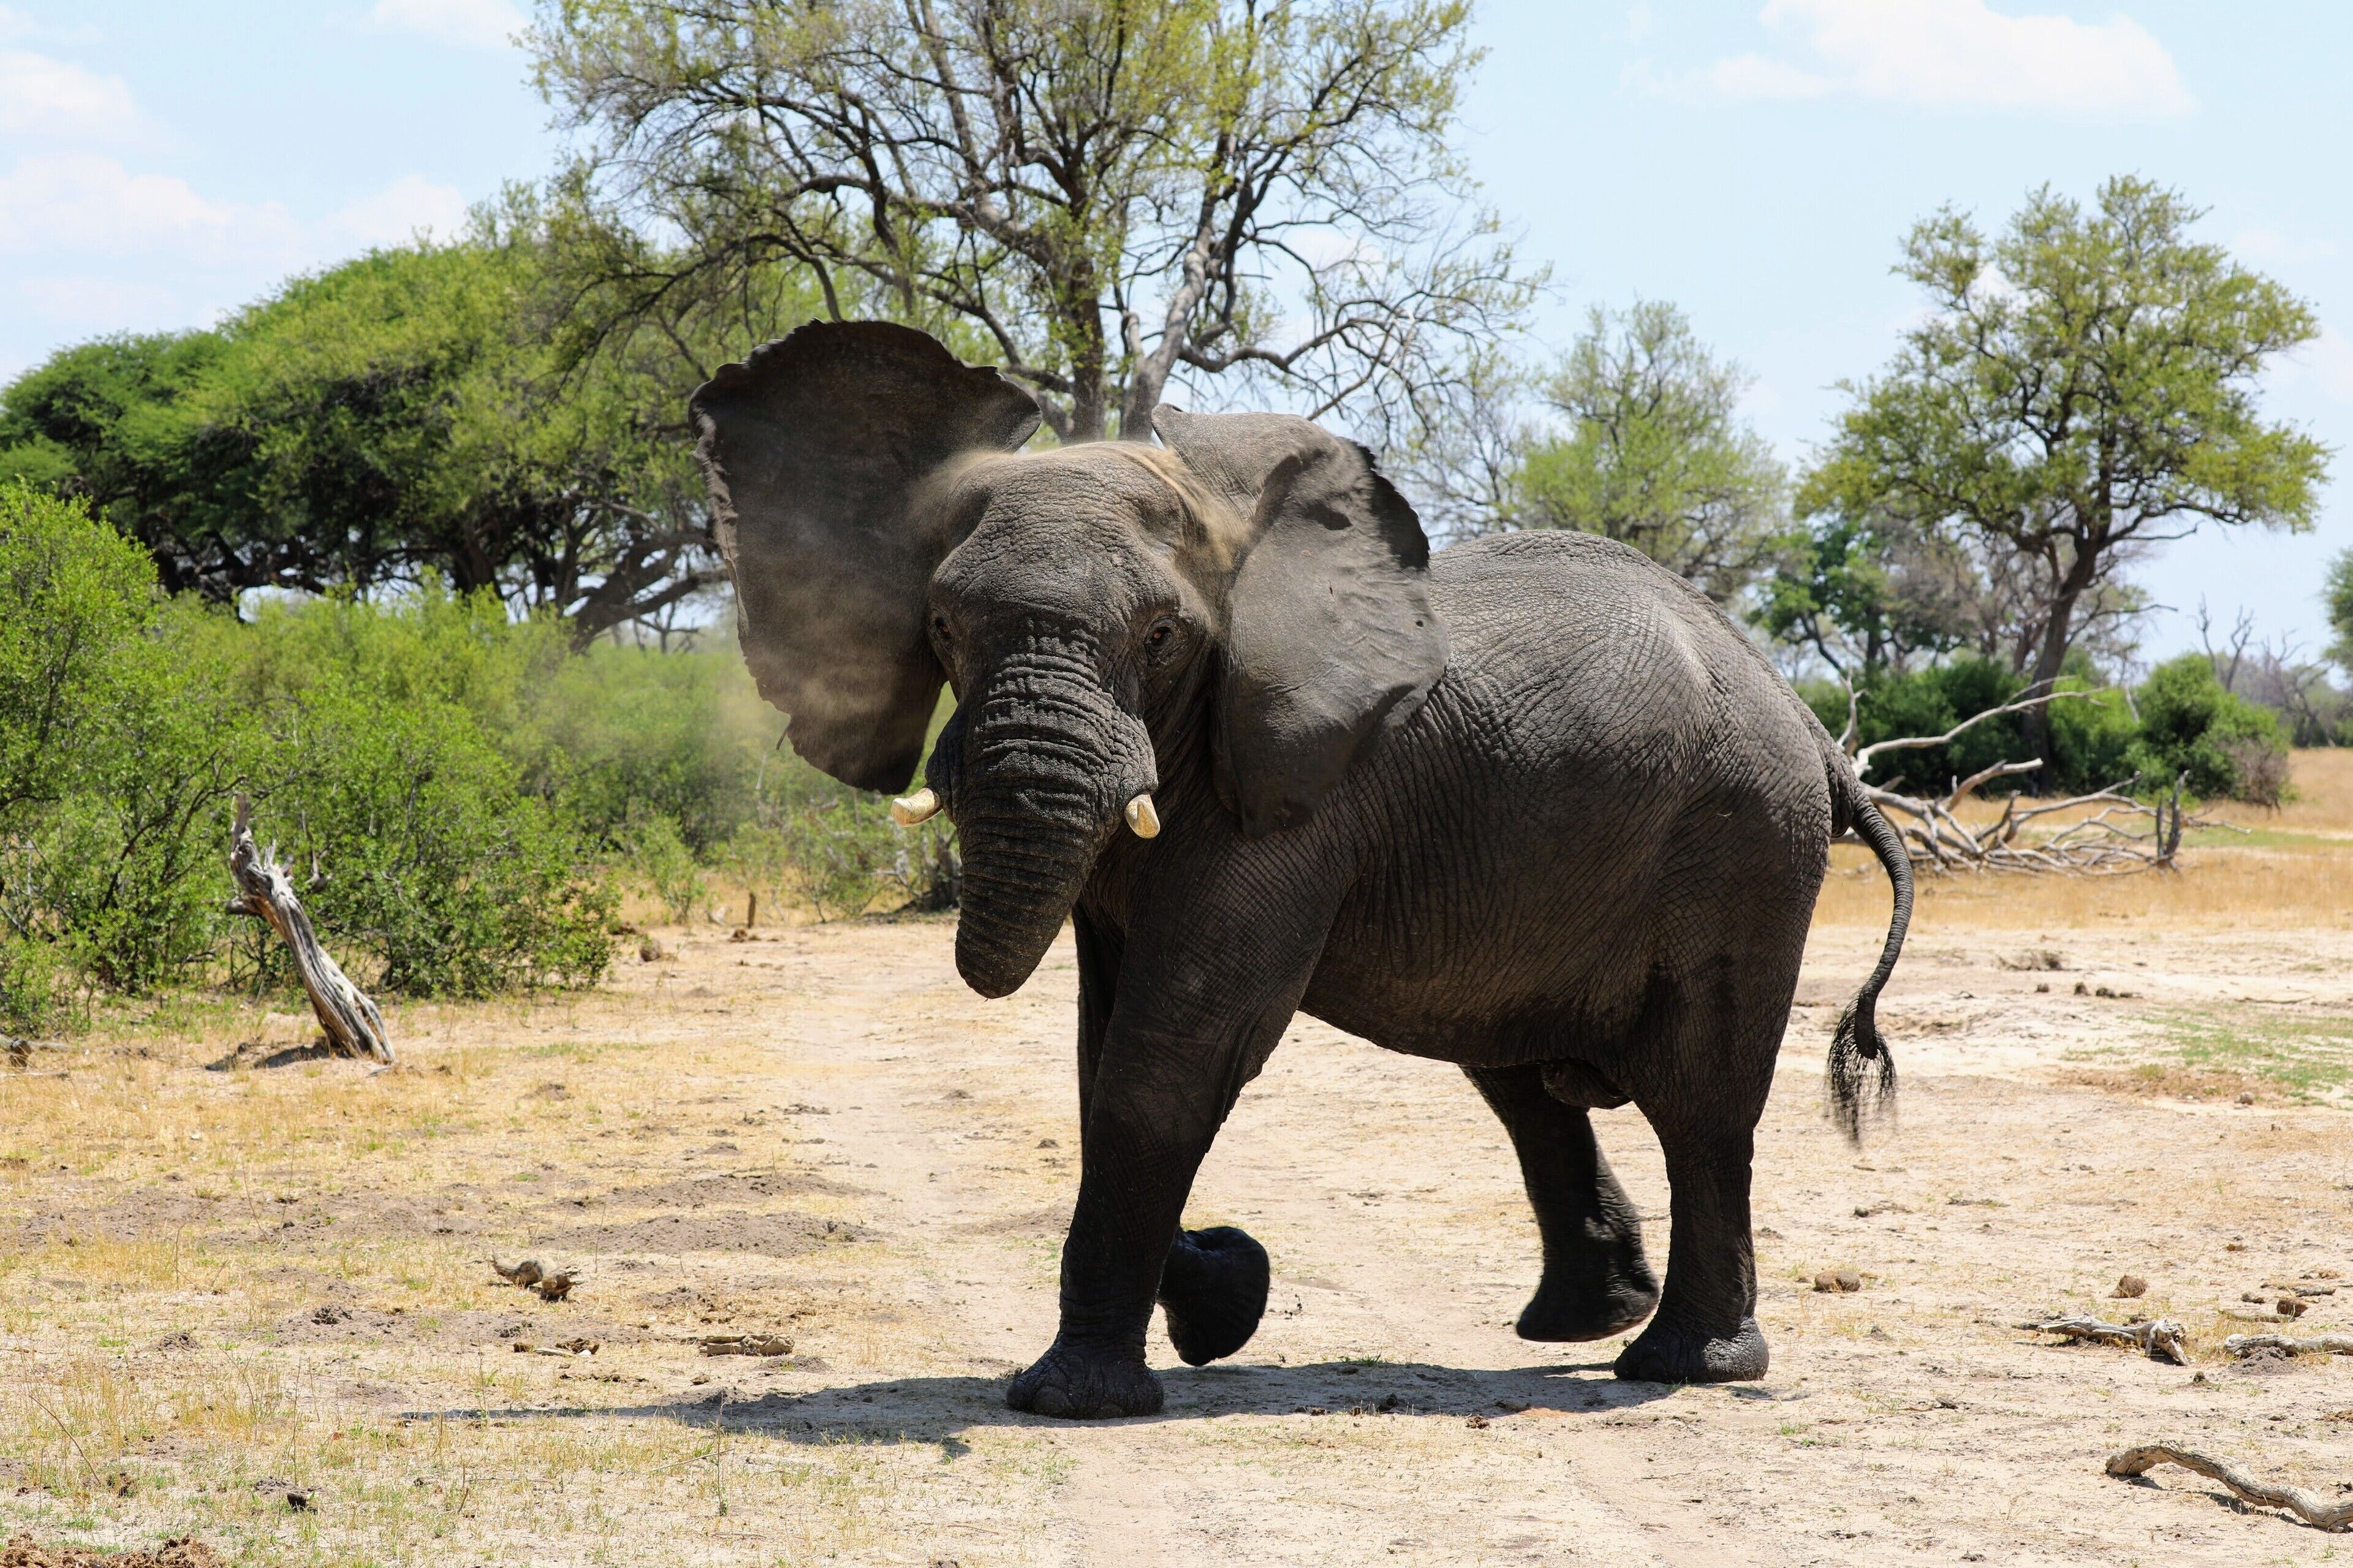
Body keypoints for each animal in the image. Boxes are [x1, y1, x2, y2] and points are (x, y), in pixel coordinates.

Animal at [688, 320, 1914, 1418]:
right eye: (941, 624)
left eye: (1164, 638)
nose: (1232, 1260)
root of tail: (1814, 729)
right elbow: (1102, 1059)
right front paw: (1223, 1298)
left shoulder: (1296, 799)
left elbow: (1171, 1053)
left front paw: (1075, 1396)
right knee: (1521, 1078)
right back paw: (1582, 1323)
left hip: (1743, 843)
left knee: (1701, 1102)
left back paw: (1680, 1367)